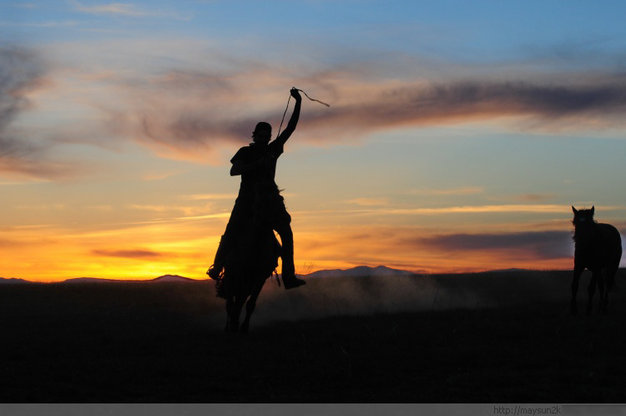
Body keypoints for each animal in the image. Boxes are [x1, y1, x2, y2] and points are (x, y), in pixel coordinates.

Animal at [208, 88, 306, 290]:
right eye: (259, 133)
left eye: (266, 133)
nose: (286, 217)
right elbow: (235, 167)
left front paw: (297, 96)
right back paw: (215, 272)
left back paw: (291, 279)